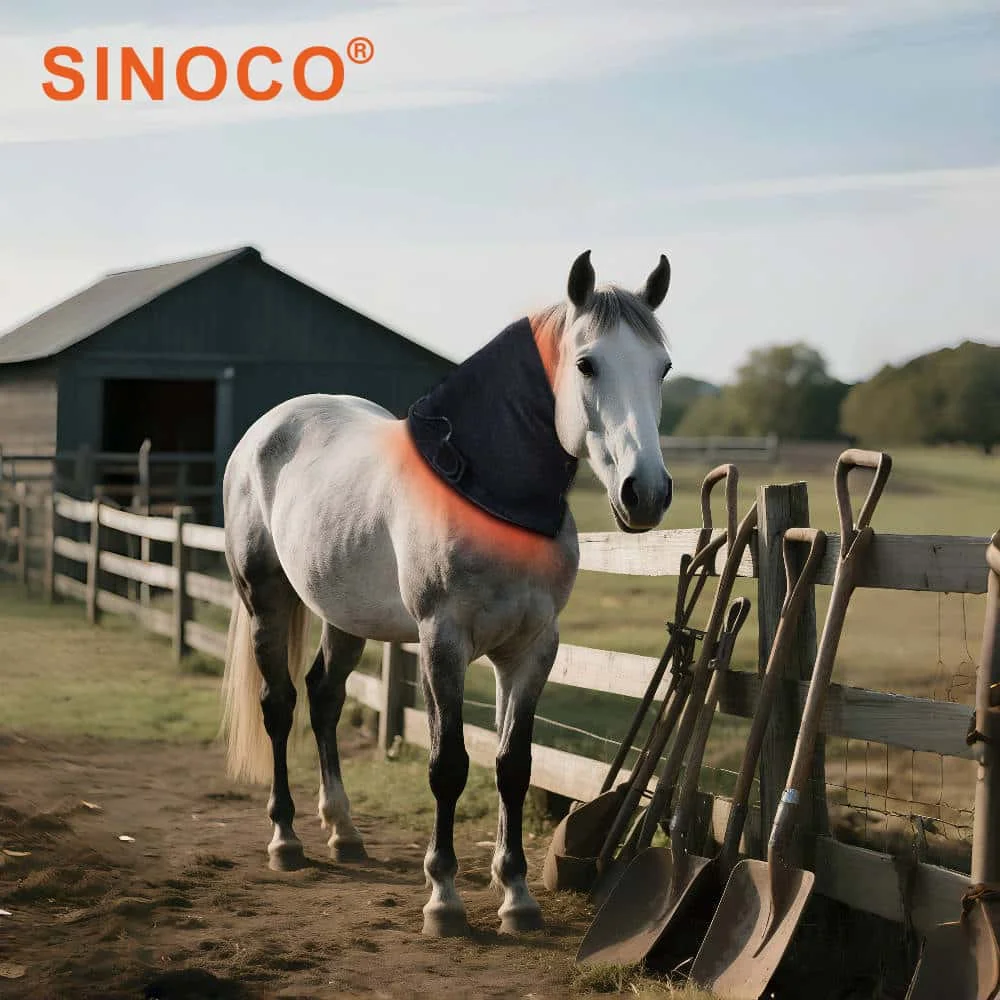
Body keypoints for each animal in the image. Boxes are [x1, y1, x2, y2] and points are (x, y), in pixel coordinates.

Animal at [219, 249, 675, 937]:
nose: (644, 493)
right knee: (280, 706)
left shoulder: (531, 649)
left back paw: (344, 832)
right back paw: (287, 840)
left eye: (662, 368)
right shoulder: (443, 642)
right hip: (266, 598)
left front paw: (517, 896)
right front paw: (445, 899)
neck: (491, 499)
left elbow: (514, 766)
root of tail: (265, 431)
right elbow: (449, 765)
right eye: (586, 363)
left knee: (324, 698)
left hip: (344, 616)